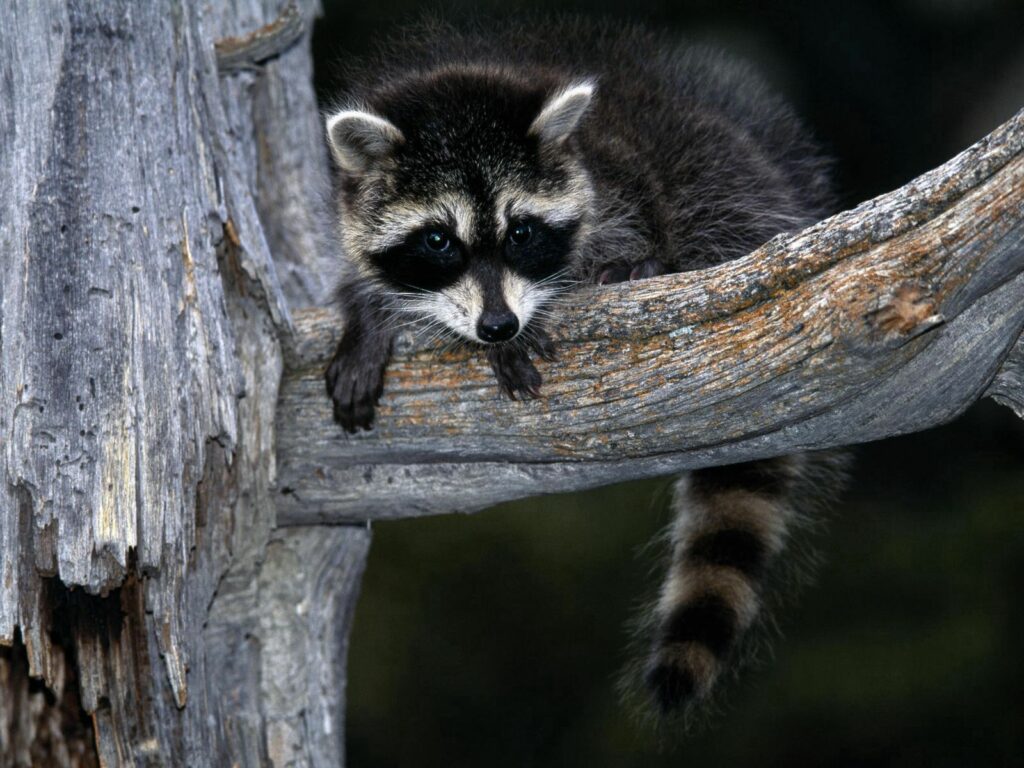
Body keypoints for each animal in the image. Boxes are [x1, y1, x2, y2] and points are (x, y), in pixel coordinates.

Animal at [323, 19, 847, 717]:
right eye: (438, 240)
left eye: (520, 232)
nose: (498, 326)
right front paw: (368, 312)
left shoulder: (619, 184)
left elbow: (629, 239)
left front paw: (547, 308)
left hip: (719, 182)